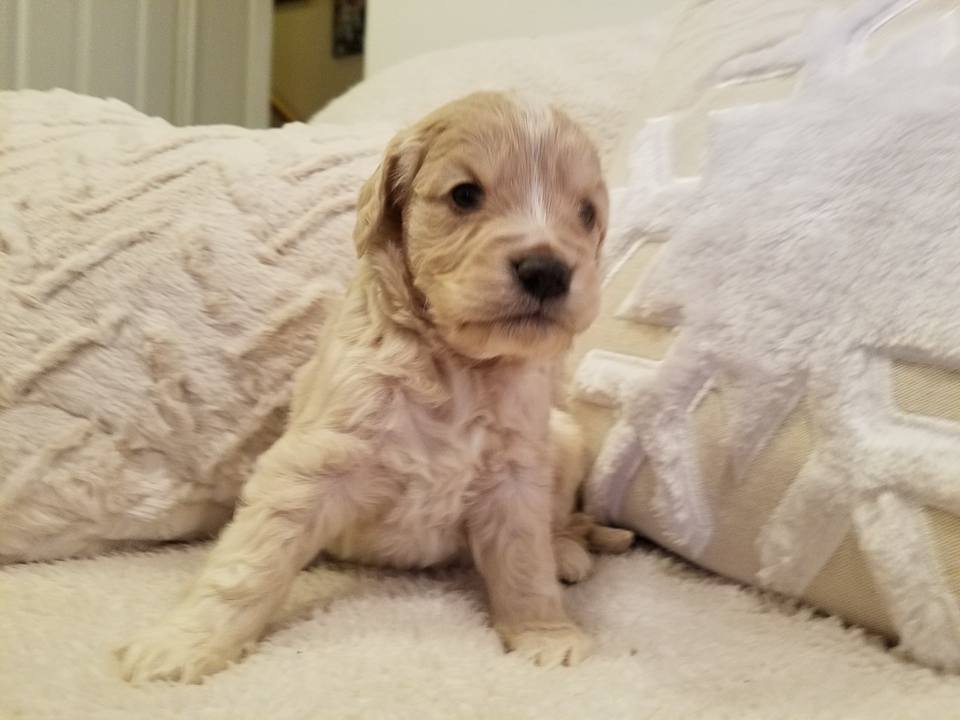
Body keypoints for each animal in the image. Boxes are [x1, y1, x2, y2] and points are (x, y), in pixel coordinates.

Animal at [116, 93, 624, 684]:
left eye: (586, 214)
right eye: (465, 194)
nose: (547, 270)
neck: (458, 366)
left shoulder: (517, 471)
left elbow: (525, 561)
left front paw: (546, 633)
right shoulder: (314, 460)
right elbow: (251, 562)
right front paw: (184, 642)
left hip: (563, 438)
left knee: (564, 521)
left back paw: (566, 549)